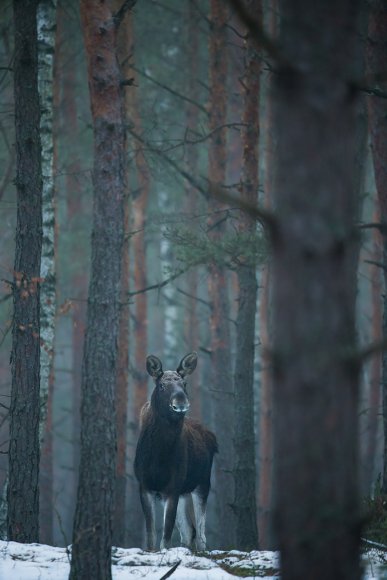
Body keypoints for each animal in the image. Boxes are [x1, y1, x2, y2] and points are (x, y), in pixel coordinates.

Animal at [134, 352, 218, 552]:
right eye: (162, 385)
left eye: (184, 384)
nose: (180, 402)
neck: (158, 457)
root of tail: (212, 438)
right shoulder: (145, 485)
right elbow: (151, 534)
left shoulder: (173, 487)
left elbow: (166, 534)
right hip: (184, 491)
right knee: (189, 530)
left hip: (202, 483)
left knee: (200, 533)